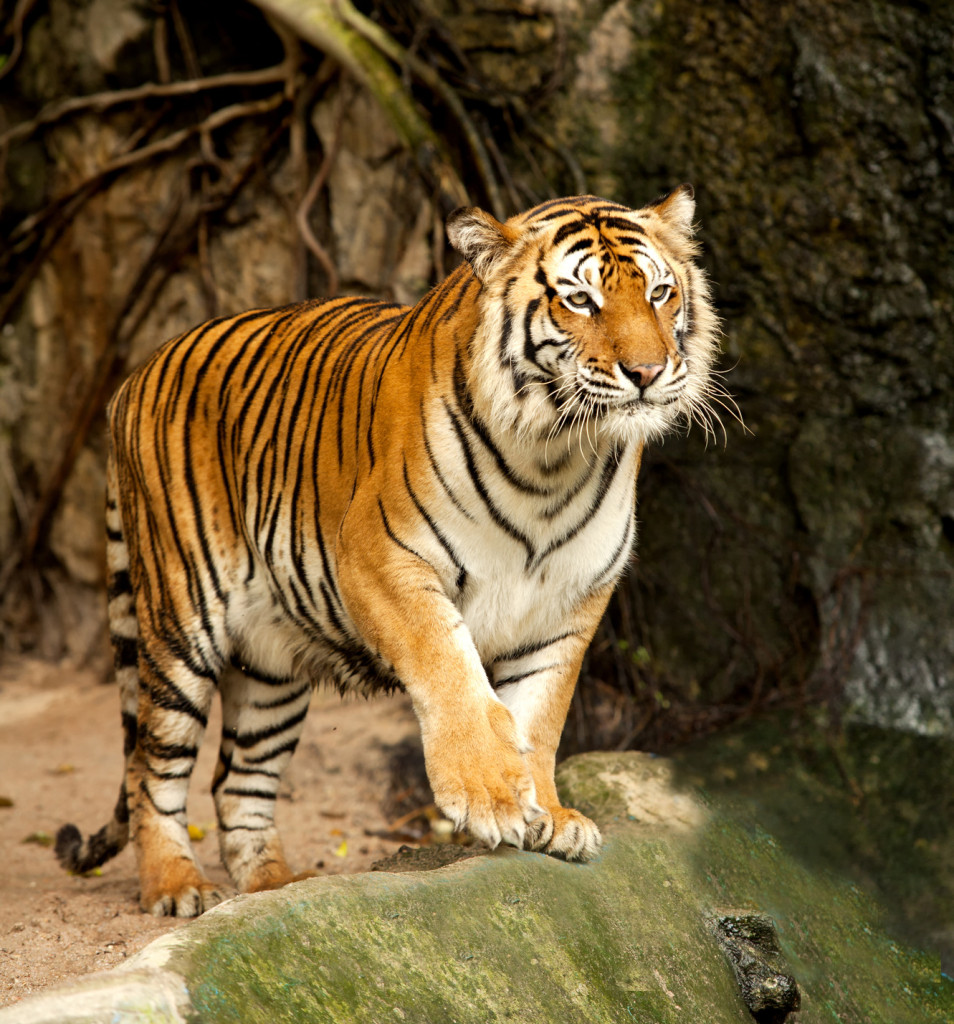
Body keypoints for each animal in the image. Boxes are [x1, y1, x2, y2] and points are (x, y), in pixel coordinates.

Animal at [55, 187, 720, 917]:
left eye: (659, 293)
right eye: (580, 300)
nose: (648, 373)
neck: (556, 458)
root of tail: (134, 374)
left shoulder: (570, 603)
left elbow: (540, 716)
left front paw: (548, 815)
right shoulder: (382, 560)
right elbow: (451, 669)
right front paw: (490, 798)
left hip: (270, 666)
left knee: (238, 782)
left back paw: (275, 888)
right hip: (182, 627)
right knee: (152, 767)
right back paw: (178, 886)